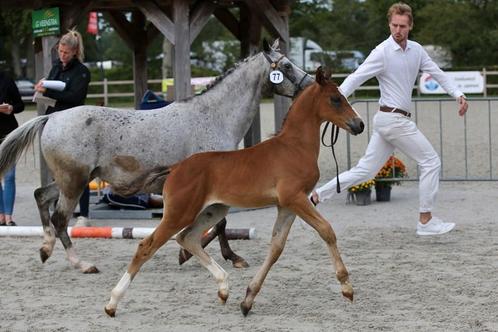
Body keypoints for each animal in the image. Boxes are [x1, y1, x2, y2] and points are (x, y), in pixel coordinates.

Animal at [105, 67, 364, 316]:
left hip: (214, 210)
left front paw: (248, 299)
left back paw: (224, 288)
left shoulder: (287, 205)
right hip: (179, 213)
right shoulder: (295, 198)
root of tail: (176, 167)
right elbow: (326, 230)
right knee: (147, 246)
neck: (294, 147)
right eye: (335, 99)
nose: (359, 125)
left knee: (187, 238)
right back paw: (112, 304)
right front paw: (347, 288)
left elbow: (276, 247)